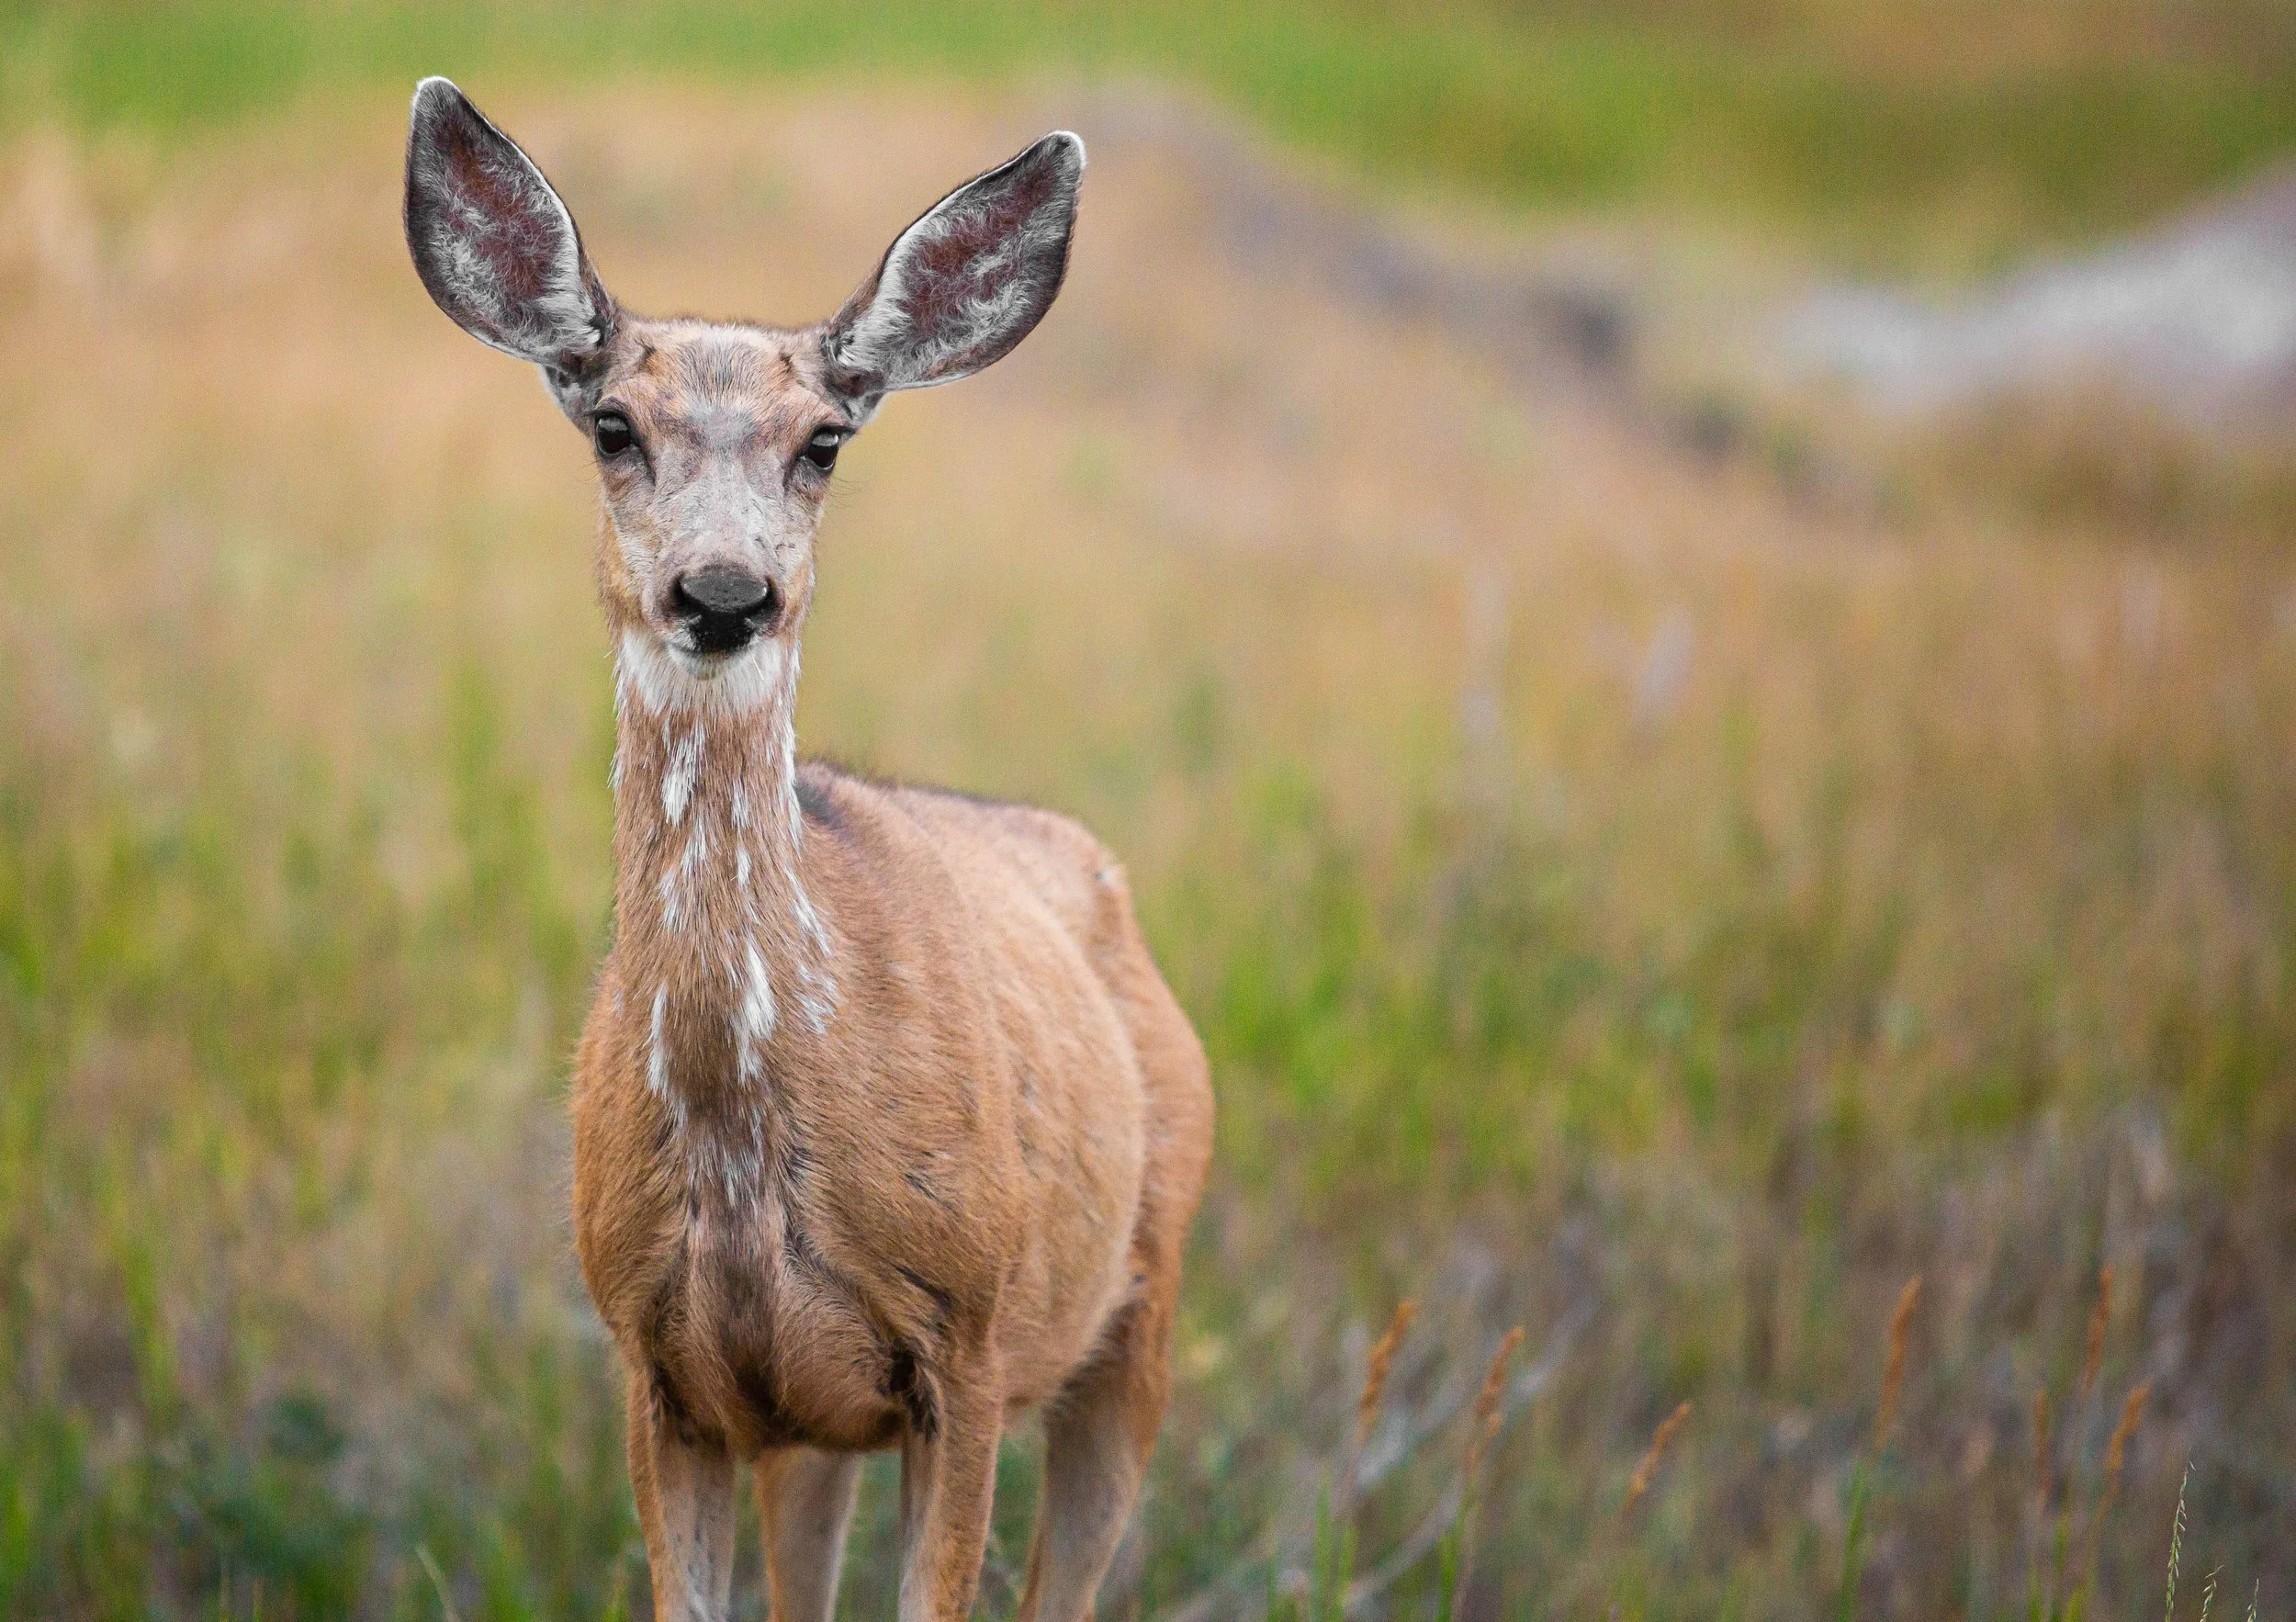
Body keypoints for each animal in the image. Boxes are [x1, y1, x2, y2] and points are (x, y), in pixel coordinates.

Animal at [401, 79, 1214, 1622]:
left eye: (825, 438)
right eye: (612, 422)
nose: (724, 590)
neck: (746, 1126)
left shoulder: (965, 1337)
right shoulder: (659, 1365)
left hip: (1137, 1303)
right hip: (813, 1434)